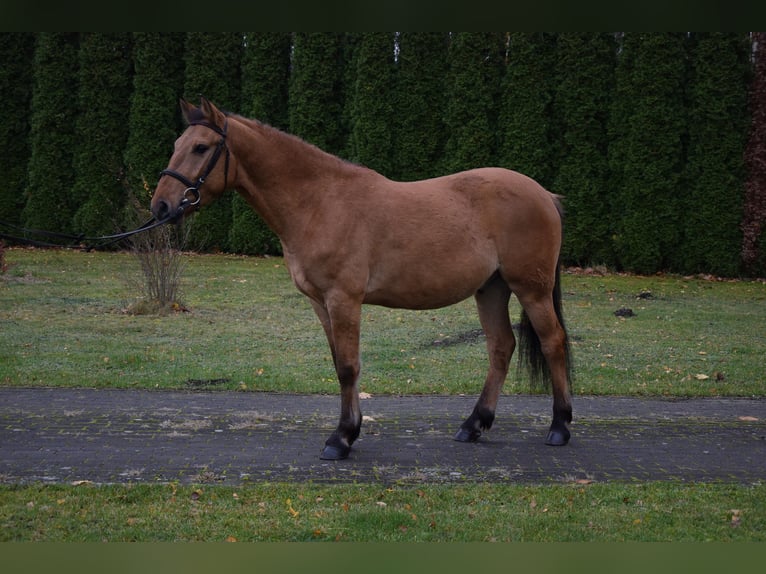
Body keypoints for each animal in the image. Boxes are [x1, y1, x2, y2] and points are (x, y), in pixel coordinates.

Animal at [152, 97, 573, 460]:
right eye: (177, 144)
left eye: (201, 147)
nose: (161, 206)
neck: (319, 201)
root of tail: (544, 195)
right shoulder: (320, 303)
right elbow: (339, 363)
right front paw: (349, 431)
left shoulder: (344, 299)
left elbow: (348, 367)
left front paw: (340, 439)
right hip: (491, 289)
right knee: (501, 347)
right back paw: (473, 425)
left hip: (531, 289)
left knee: (553, 343)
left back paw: (560, 427)